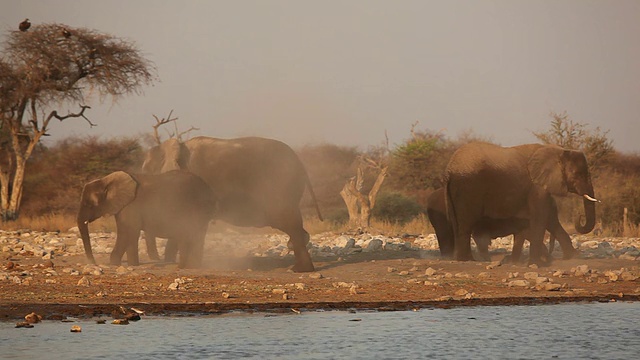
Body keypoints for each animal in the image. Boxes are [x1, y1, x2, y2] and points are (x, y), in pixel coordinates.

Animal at [77, 170, 218, 268]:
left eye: (89, 204)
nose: (93, 262)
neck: (106, 181)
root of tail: (209, 189)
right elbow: (130, 234)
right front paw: (133, 265)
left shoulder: (131, 206)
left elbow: (128, 232)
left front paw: (115, 264)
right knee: (198, 235)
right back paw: (193, 267)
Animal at [140, 136, 320, 272]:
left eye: (148, 170)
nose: (157, 260)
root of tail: (300, 163)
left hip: (279, 188)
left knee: (289, 223)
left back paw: (298, 269)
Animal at [444, 143, 596, 264]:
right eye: (578, 174)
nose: (580, 215)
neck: (557, 150)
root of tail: (449, 171)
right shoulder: (536, 186)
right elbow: (540, 217)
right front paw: (535, 263)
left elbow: (546, 219)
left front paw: (573, 257)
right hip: (468, 189)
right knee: (466, 224)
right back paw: (468, 260)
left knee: (457, 224)